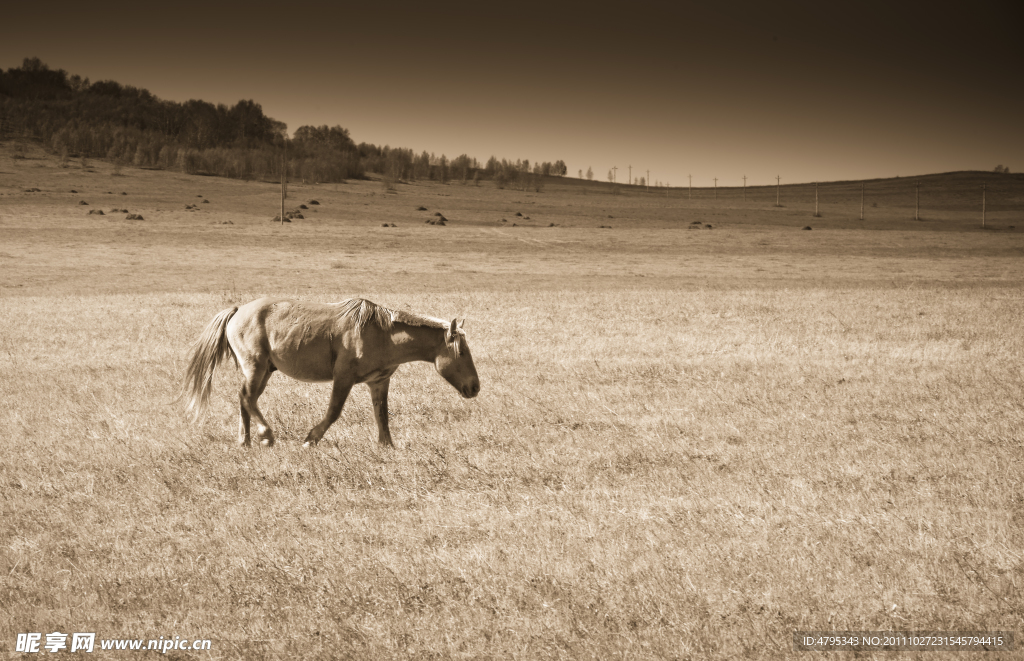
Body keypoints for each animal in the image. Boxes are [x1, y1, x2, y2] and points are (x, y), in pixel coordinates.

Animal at [183, 298, 479, 448]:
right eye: (462, 352)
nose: (475, 387)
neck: (383, 333)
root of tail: (236, 311)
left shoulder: (379, 382)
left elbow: (382, 416)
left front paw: (387, 447)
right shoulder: (343, 378)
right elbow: (334, 412)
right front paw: (310, 440)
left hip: (264, 370)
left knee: (245, 399)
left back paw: (245, 442)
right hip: (256, 367)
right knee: (247, 398)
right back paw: (266, 435)